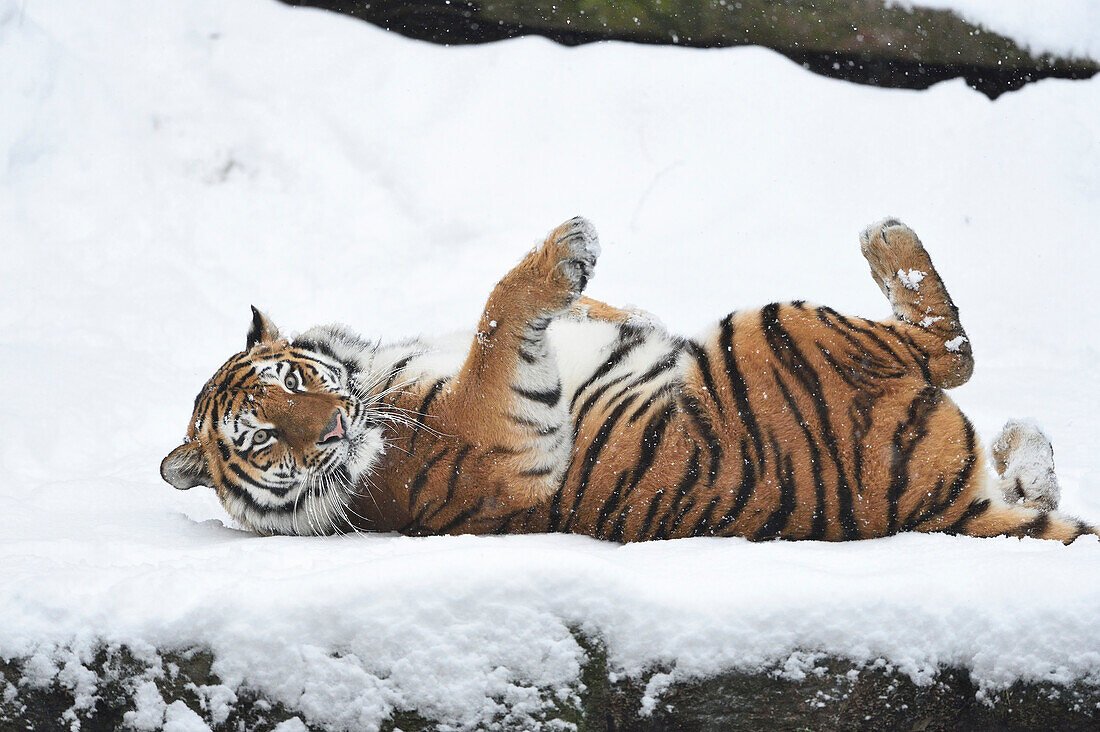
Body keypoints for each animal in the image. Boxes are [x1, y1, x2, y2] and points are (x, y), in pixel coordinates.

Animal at [162, 216, 1100, 541]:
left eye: (292, 382)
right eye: (263, 439)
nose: (329, 428)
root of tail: (941, 512)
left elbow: (560, 316)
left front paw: (603, 301)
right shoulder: (497, 441)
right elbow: (497, 321)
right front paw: (566, 250)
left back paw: (1033, 448)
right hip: (780, 327)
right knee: (951, 348)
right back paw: (888, 239)